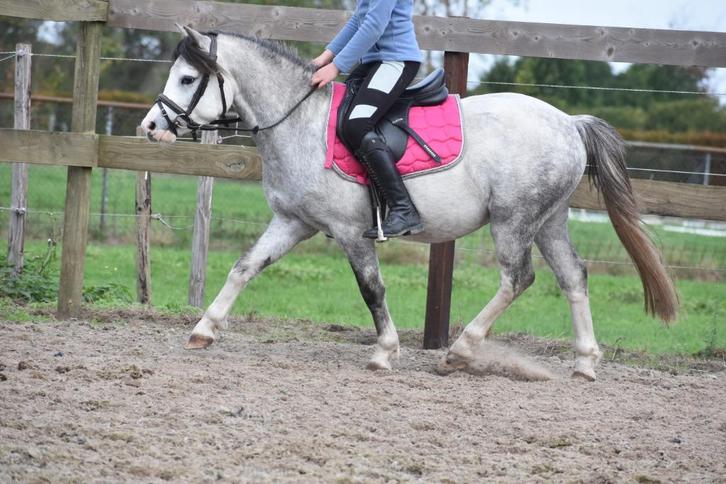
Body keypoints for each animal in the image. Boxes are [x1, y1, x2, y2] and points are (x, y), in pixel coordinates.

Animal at [141, 26, 678, 380]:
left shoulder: (350, 231)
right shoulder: (293, 221)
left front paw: (384, 351)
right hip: (549, 220)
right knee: (573, 277)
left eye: (186, 79)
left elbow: (371, 289)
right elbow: (244, 267)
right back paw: (585, 363)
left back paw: (461, 351)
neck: (299, 122)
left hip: (514, 220)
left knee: (518, 278)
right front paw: (204, 329)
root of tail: (569, 122)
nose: (150, 127)